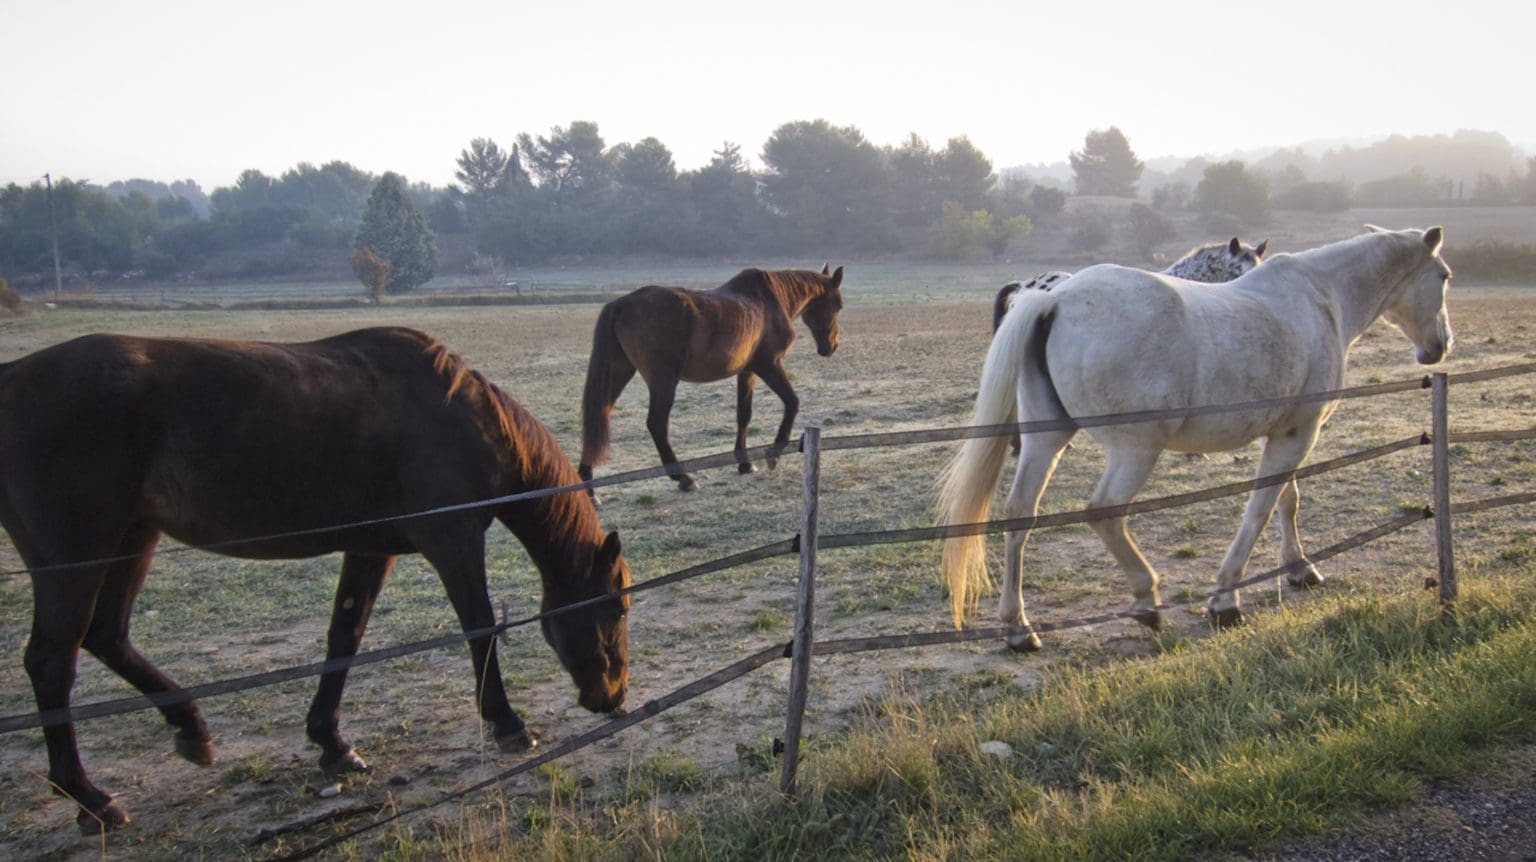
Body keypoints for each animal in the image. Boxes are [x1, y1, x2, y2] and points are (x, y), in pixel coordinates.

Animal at [0, 326, 631, 833]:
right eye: (619, 608)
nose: (615, 696)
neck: (464, 417)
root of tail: (13, 377)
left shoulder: (370, 550)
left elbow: (343, 638)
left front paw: (332, 743)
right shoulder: (451, 541)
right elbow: (479, 628)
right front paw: (506, 722)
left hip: (133, 539)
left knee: (107, 636)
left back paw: (190, 729)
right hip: (76, 558)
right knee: (52, 662)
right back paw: (90, 799)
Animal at [578, 264, 845, 493]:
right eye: (839, 305)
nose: (831, 347)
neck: (770, 300)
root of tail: (621, 304)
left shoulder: (747, 371)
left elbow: (744, 414)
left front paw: (744, 463)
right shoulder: (768, 365)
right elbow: (792, 402)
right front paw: (774, 453)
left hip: (619, 372)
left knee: (598, 415)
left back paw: (588, 488)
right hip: (663, 381)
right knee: (656, 424)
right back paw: (683, 478)